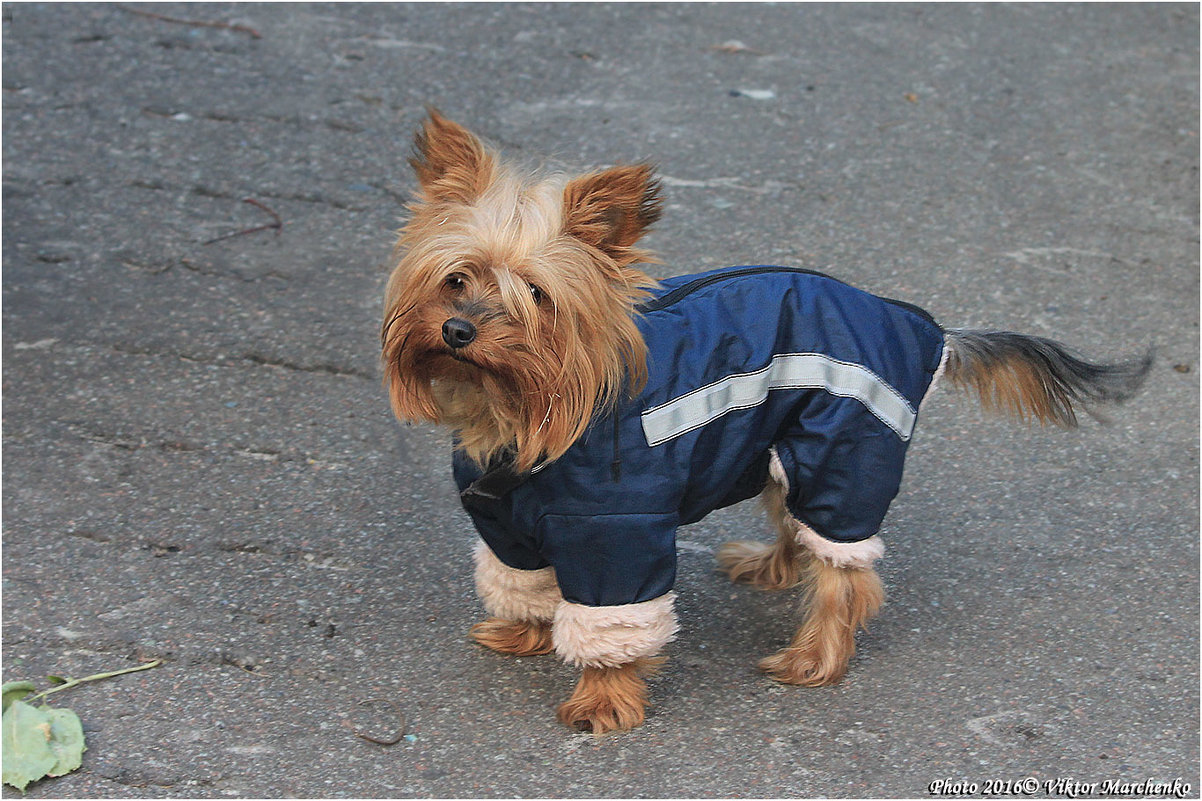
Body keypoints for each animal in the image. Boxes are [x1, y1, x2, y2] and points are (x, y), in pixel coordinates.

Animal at [379, 109, 1149, 731]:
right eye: (456, 278)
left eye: (537, 295)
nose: (457, 330)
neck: (520, 409)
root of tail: (923, 330)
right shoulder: (507, 525)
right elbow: (527, 582)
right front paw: (528, 632)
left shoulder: (615, 534)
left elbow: (615, 622)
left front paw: (603, 699)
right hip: (778, 446)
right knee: (798, 523)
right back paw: (771, 566)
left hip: (842, 452)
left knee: (846, 573)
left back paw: (815, 657)